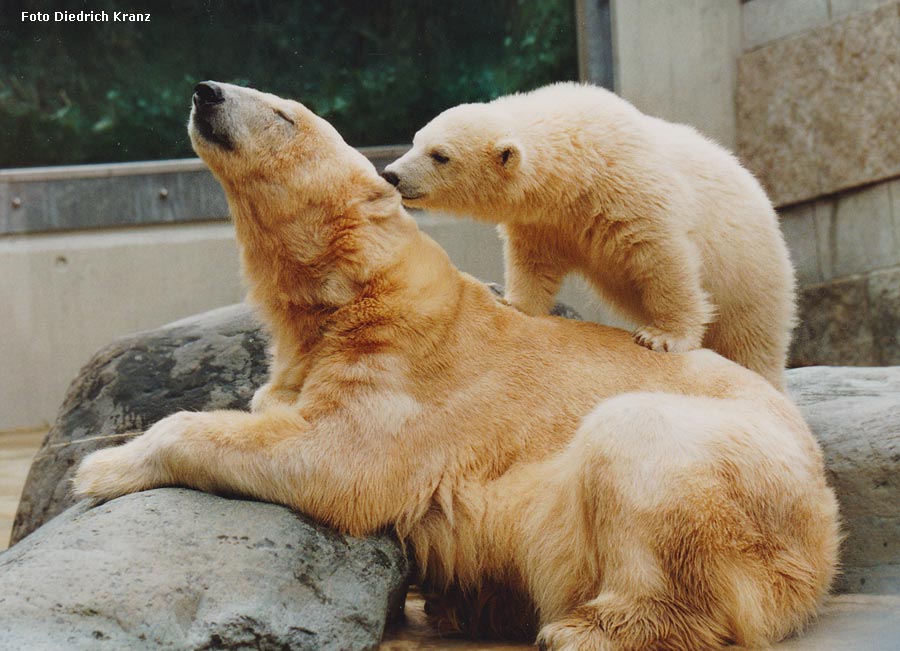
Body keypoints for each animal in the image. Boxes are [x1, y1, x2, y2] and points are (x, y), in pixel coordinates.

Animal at [380, 81, 796, 388]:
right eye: (416, 140)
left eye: (440, 155)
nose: (392, 174)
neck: (577, 166)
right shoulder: (547, 219)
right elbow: (533, 261)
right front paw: (511, 301)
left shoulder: (630, 189)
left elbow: (663, 258)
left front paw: (662, 337)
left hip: (752, 274)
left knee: (752, 338)